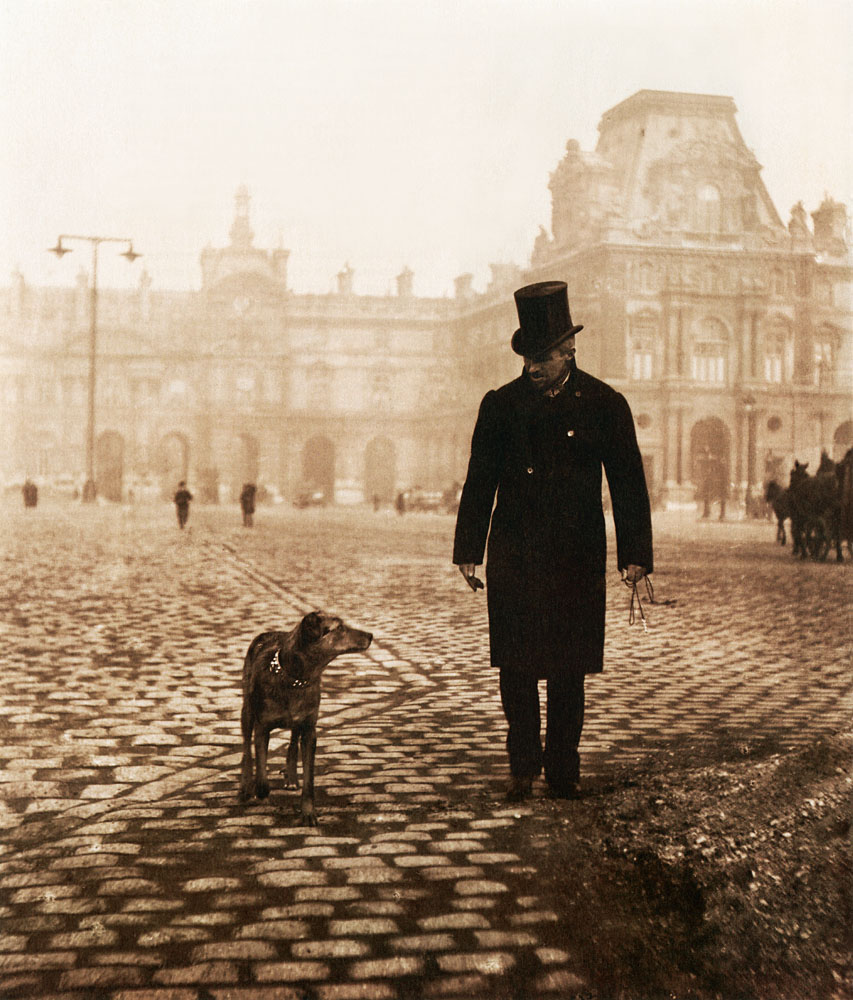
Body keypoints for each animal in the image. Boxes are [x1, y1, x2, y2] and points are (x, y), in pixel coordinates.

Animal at [240, 608, 372, 828]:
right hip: (247, 710)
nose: (370, 635)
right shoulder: (262, 726)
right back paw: (245, 786)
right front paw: (260, 790)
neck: (295, 678)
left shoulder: (309, 729)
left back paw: (292, 777)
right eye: (340, 627)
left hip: (297, 723)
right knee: (246, 749)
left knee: (293, 743)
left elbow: (309, 780)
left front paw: (308, 813)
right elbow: (261, 768)